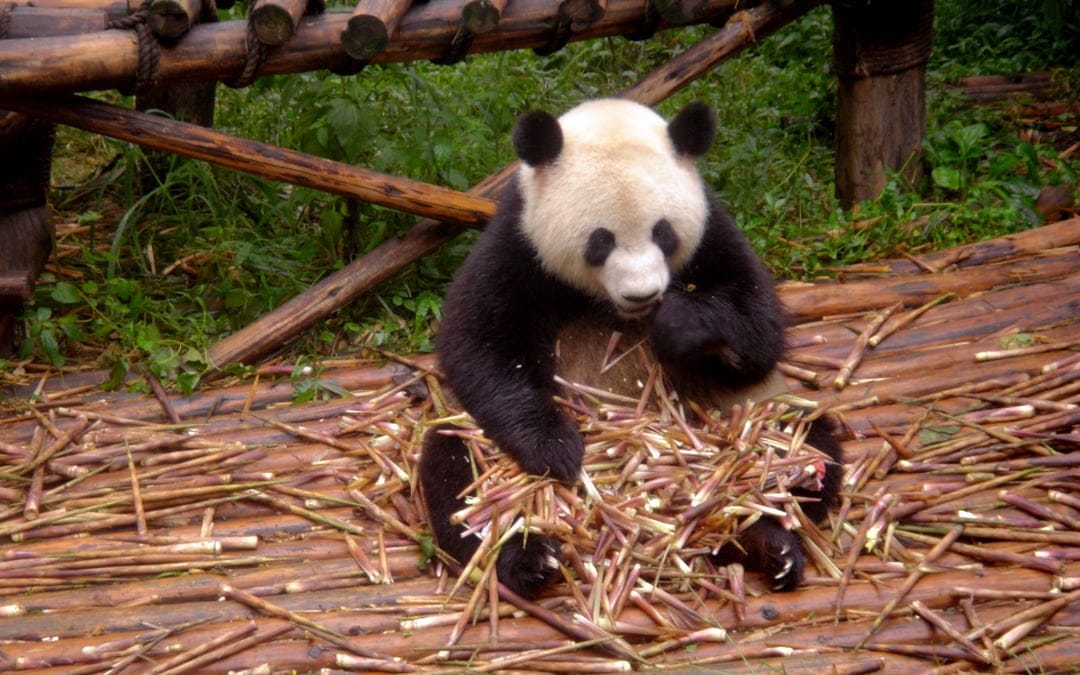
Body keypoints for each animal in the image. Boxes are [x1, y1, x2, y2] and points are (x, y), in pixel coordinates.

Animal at [418, 99, 842, 600]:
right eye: (600, 241)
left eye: (663, 233)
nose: (643, 294)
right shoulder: (518, 243)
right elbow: (481, 342)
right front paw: (556, 448)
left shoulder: (713, 232)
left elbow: (759, 327)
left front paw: (680, 326)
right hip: (477, 447)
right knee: (457, 475)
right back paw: (529, 559)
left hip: (758, 414)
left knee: (807, 449)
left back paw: (766, 541)